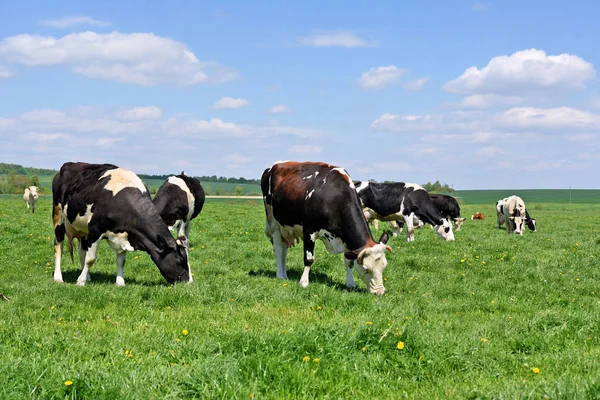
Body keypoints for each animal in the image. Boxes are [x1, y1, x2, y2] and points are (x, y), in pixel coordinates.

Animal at [53, 161, 191, 286]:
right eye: (180, 260)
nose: (189, 283)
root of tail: (69, 164)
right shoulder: (95, 230)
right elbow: (90, 259)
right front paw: (80, 282)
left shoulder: (125, 234)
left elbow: (121, 261)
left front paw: (120, 282)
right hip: (58, 214)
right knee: (59, 245)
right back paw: (58, 277)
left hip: (83, 229)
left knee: (82, 251)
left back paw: (87, 277)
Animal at [260, 159, 392, 294]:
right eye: (366, 268)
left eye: (384, 266)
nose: (380, 292)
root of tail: (273, 166)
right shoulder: (309, 230)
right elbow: (309, 259)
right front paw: (304, 282)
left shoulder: (345, 237)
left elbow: (349, 261)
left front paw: (350, 283)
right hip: (274, 223)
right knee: (278, 249)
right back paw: (280, 275)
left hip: (286, 228)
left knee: (284, 250)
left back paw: (284, 274)